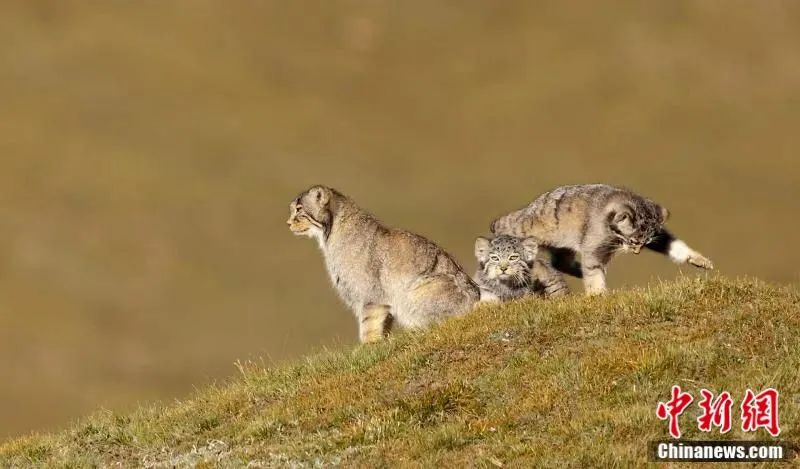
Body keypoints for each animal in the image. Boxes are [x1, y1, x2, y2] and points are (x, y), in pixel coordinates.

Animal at [288, 185, 478, 342]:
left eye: (299, 209)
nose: (288, 223)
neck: (332, 232)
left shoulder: (370, 295)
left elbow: (368, 325)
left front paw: (367, 348)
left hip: (416, 293)